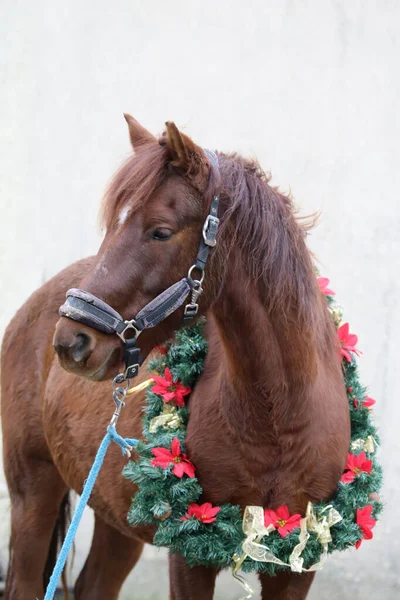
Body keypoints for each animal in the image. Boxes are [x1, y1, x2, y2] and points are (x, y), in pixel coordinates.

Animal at [0, 115, 350, 596]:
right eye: (110, 227)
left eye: (160, 231)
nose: (71, 343)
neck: (278, 417)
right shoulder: (190, 553)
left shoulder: (300, 561)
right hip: (32, 492)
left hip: (116, 518)